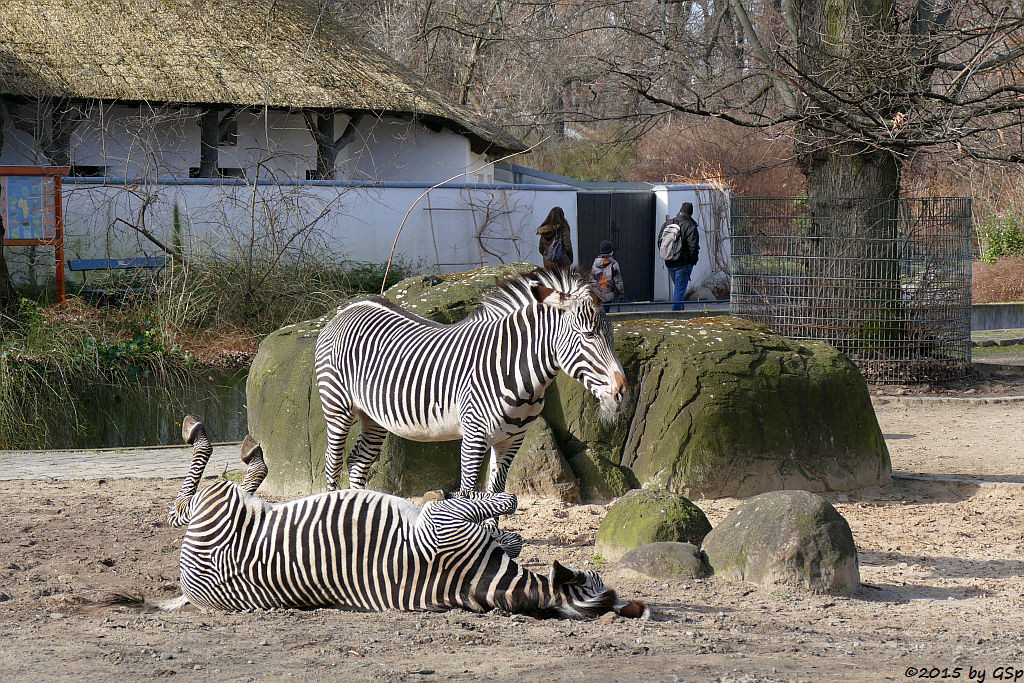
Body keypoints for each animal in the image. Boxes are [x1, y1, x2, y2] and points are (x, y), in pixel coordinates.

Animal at [165, 417, 647, 618]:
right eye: (596, 575)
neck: (485, 582)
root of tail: (190, 591)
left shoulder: (442, 520)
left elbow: (500, 502)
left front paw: (503, 515)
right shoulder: (444, 520)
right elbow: (503, 518)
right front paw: (508, 534)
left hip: (217, 505)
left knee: (194, 497)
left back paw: (213, 437)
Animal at [315, 266, 626, 497]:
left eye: (611, 334)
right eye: (588, 335)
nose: (621, 393)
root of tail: (348, 308)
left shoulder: (512, 440)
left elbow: (496, 498)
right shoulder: (474, 436)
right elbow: (467, 498)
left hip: (374, 416)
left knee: (358, 462)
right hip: (337, 409)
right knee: (333, 463)